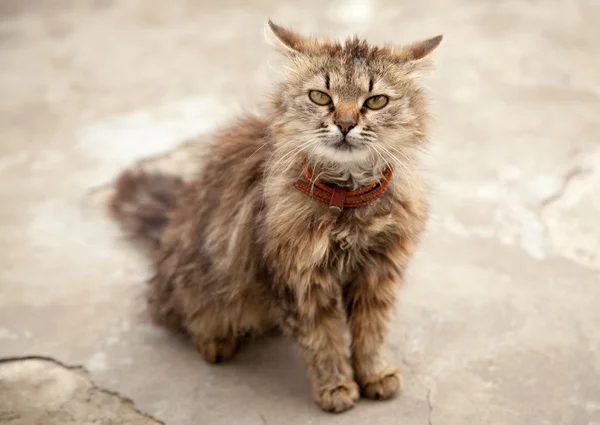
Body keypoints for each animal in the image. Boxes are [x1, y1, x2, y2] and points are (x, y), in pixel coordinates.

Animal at [110, 21, 442, 412]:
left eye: (375, 101)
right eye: (321, 97)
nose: (345, 124)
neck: (347, 199)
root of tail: (173, 216)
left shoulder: (378, 271)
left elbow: (370, 332)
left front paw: (375, 374)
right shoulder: (299, 278)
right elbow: (324, 339)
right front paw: (336, 387)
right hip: (199, 284)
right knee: (180, 315)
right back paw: (216, 343)